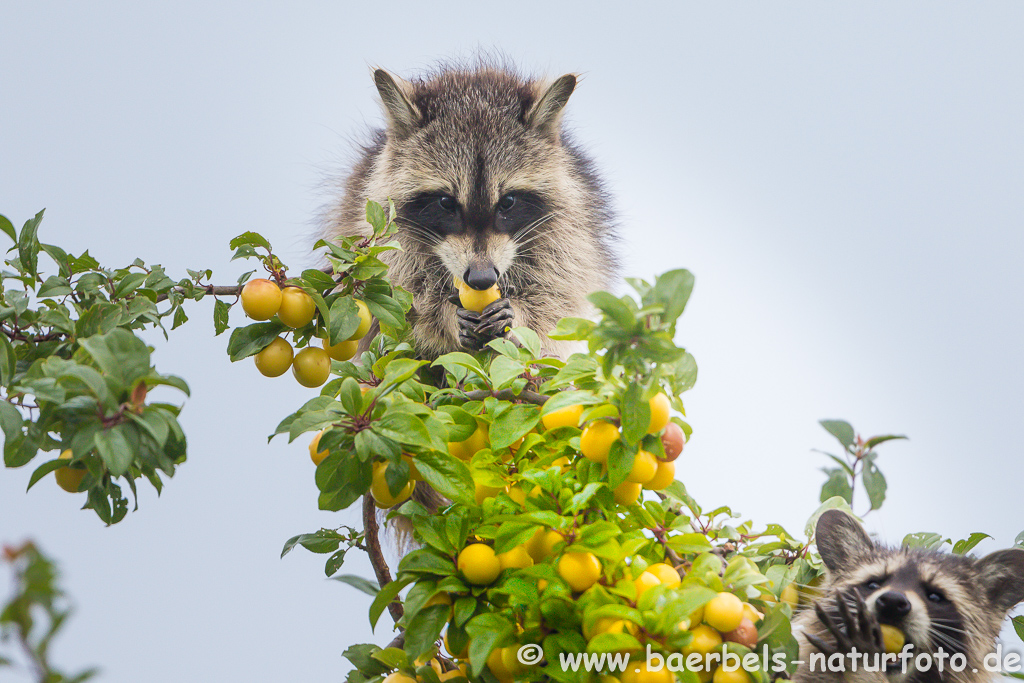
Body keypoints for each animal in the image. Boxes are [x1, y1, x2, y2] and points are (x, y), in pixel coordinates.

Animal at [323, 61, 618, 360]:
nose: (481, 278)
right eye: (446, 202)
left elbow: (556, 298)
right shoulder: (386, 232)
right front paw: (446, 317)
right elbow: (405, 299)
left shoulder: (568, 229)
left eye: (508, 202)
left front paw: (519, 316)